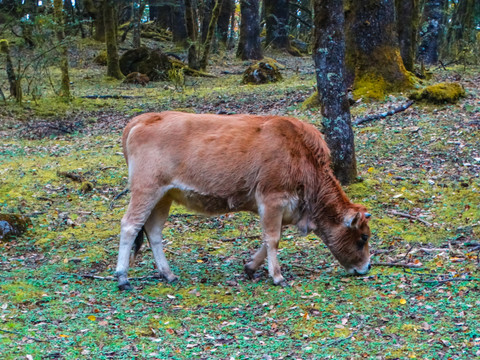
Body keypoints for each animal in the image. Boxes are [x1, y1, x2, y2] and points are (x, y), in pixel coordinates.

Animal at [115, 111, 372, 288]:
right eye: (363, 238)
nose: (366, 267)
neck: (301, 155)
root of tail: (141, 120)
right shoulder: (272, 200)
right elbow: (273, 239)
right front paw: (277, 277)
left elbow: (268, 239)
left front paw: (249, 267)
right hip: (146, 191)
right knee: (129, 225)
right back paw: (123, 278)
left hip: (164, 197)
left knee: (154, 231)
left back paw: (168, 274)